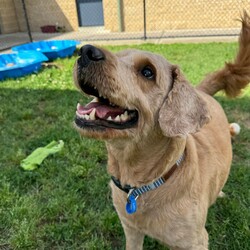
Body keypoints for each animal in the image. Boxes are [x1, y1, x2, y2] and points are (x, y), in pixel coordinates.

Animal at [73, 12, 249, 250]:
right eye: (118, 55)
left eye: (148, 72)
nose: (86, 51)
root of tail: (201, 91)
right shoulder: (131, 230)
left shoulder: (195, 241)